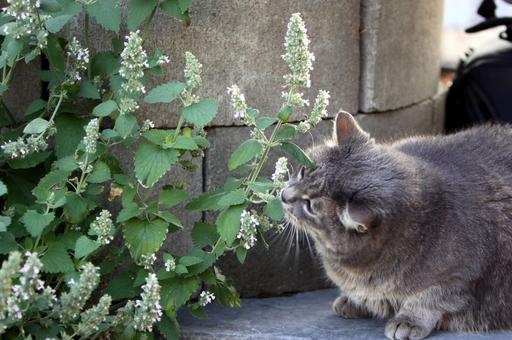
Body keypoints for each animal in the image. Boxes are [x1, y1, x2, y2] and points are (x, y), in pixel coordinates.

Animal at [282, 113, 512, 338]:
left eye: (309, 205)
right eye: (302, 171)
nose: (284, 195)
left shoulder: (460, 276)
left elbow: (431, 299)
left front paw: (408, 320)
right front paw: (356, 300)